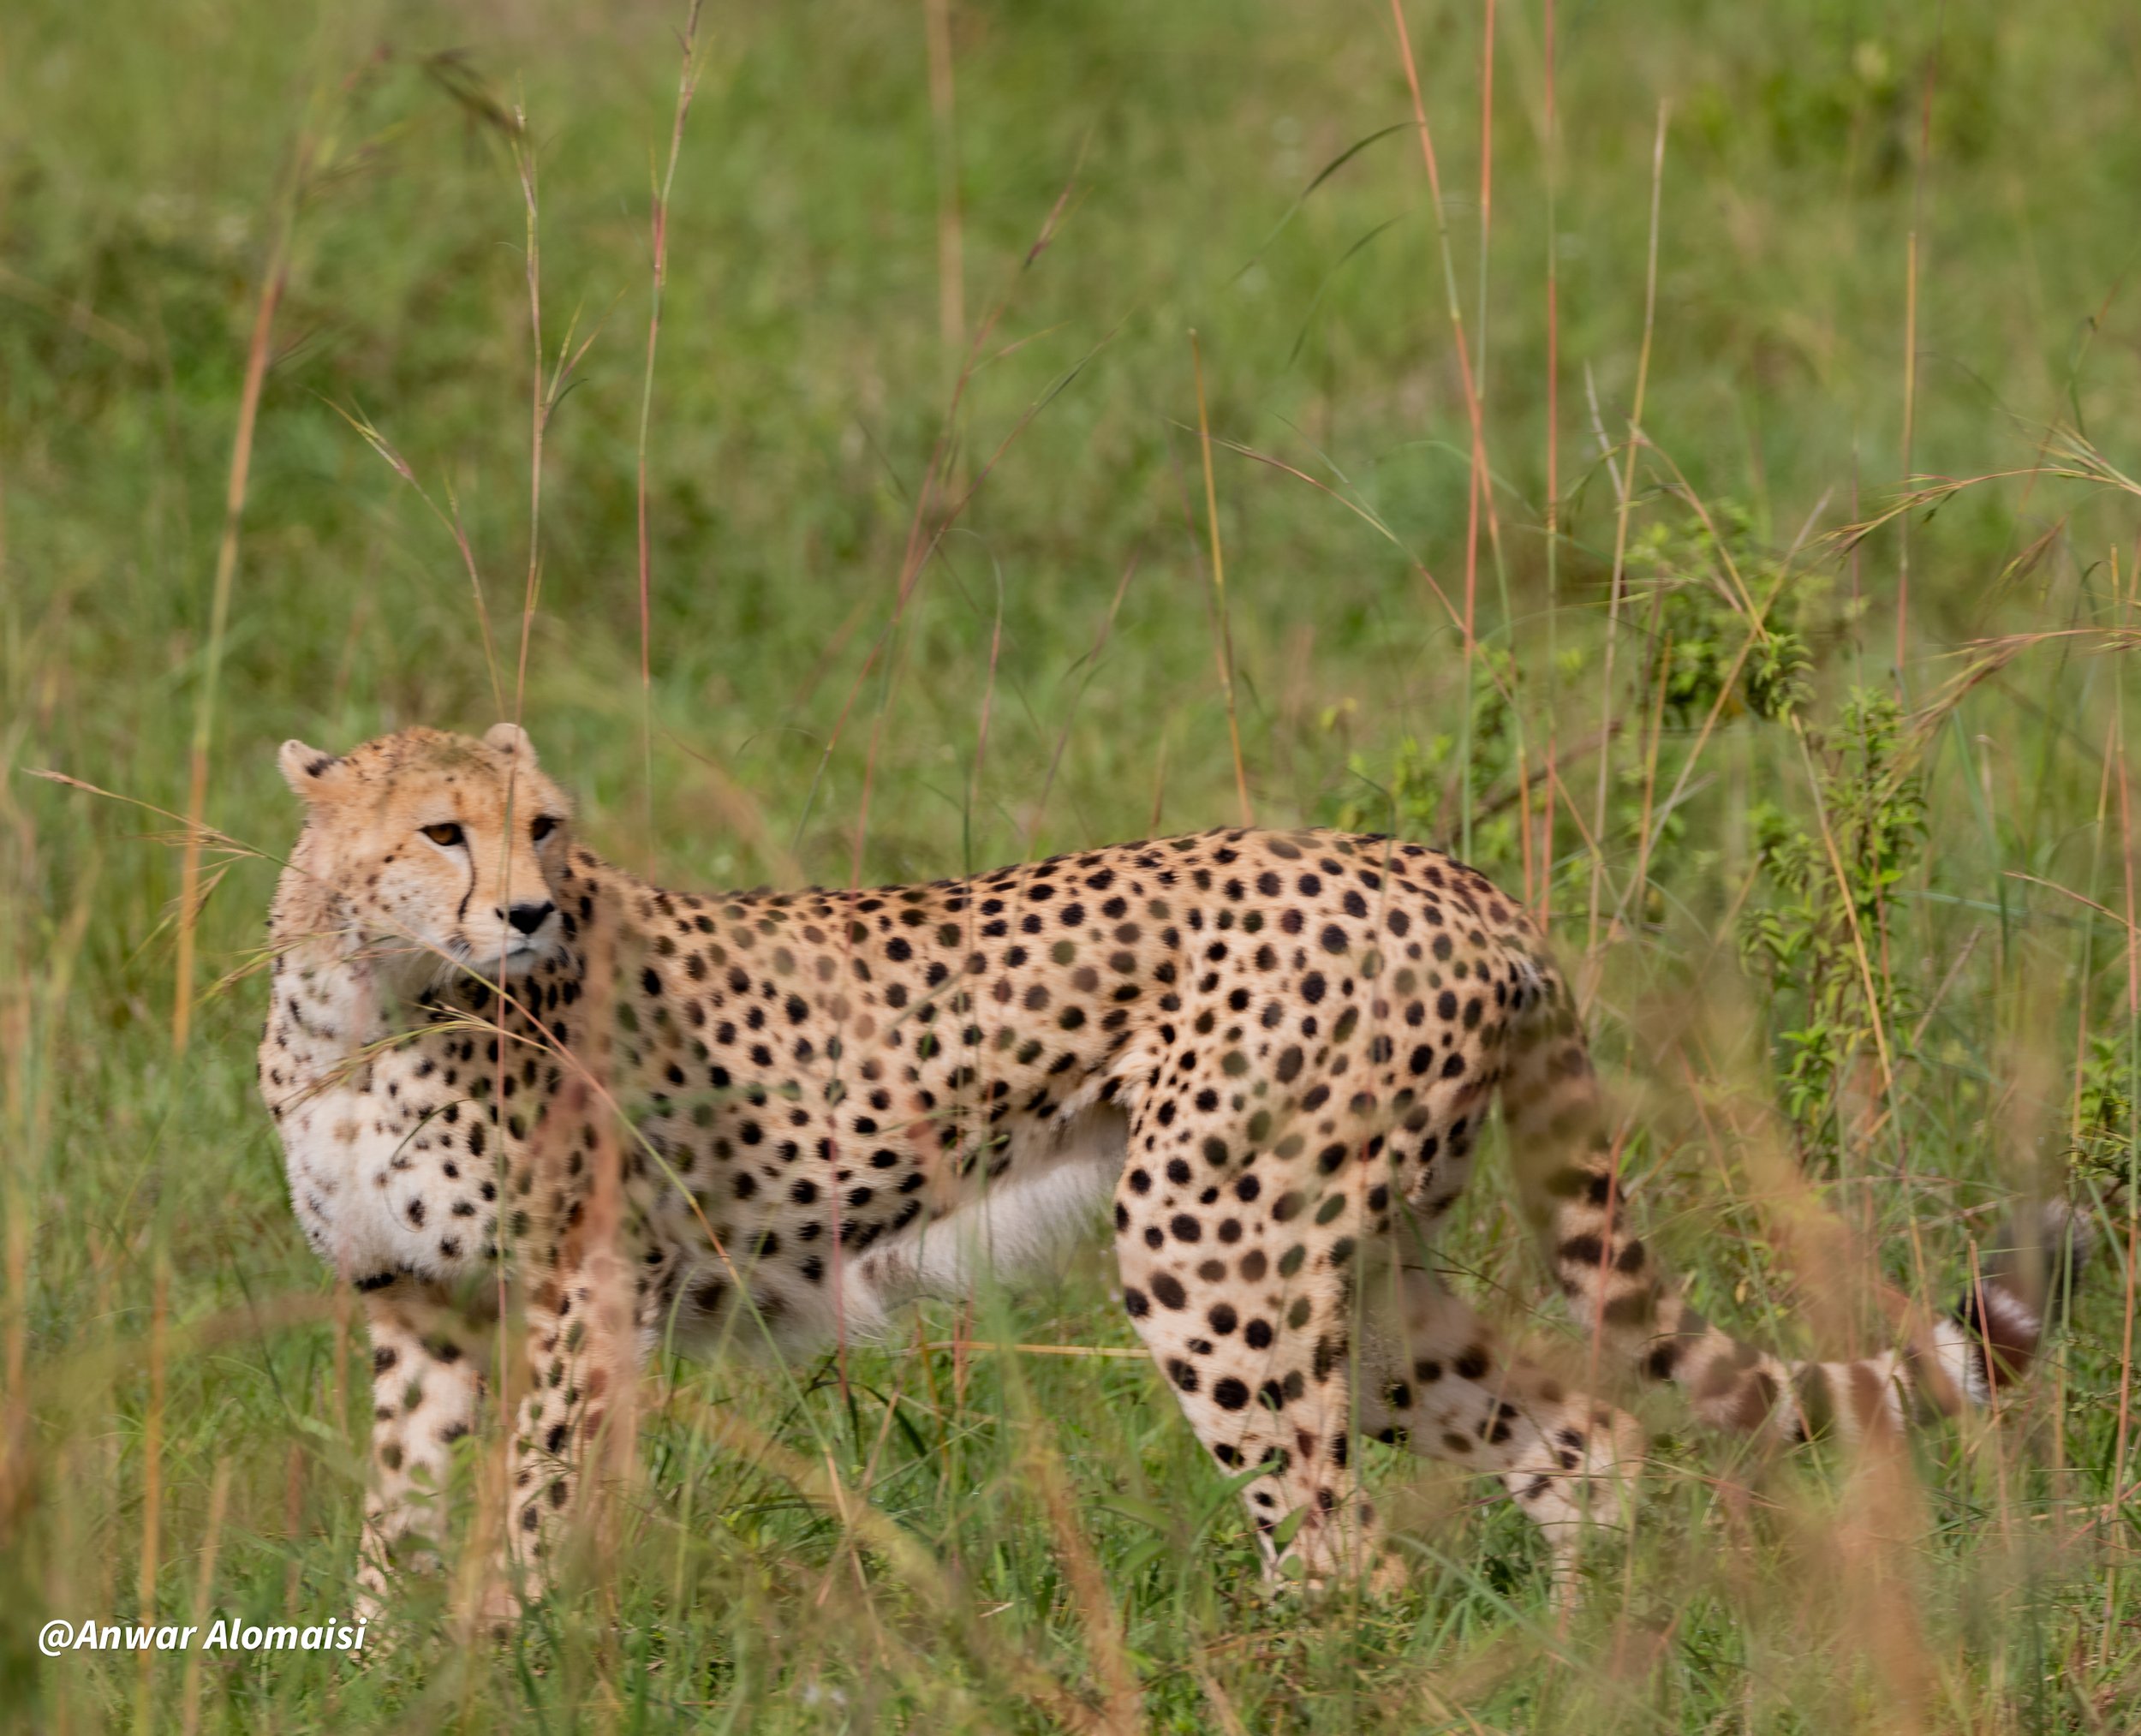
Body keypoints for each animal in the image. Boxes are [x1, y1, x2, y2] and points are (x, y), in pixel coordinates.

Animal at [258, 721, 2085, 1614]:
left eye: (546, 824)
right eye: (443, 827)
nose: (530, 911)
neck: (374, 996)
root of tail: (1446, 870)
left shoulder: (585, 1295)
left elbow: (527, 1502)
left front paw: (500, 1646)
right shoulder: (416, 1307)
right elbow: (399, 1500)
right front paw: (386, 1653)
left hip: (1211, 1238)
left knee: (1342, 1547)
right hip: (1360, 1270)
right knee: (1579, 1437)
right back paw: (1585, 1663)